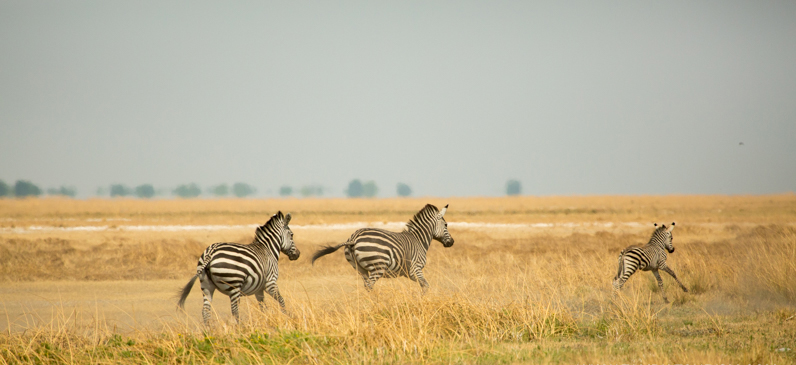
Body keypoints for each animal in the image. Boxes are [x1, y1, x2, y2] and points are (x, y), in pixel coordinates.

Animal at [314, 203, 458, 292]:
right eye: (446, 225)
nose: (452, 242)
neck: (419, 239)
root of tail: (354, 238)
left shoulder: (408, 273)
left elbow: (424, 285)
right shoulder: (416, 269)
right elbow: (425, 286)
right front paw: (422, 301)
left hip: (359, 268)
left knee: (366, 285)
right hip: (378, 267)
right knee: (369, 286)